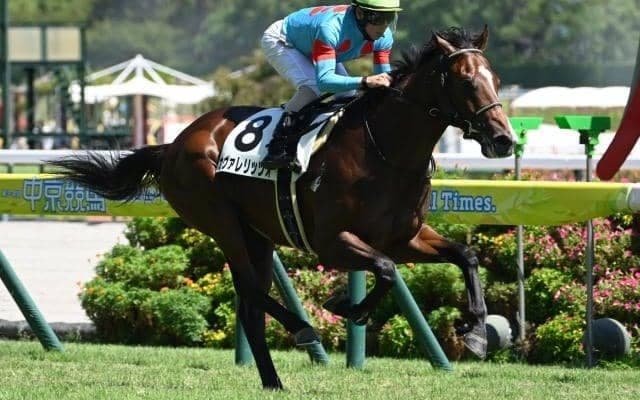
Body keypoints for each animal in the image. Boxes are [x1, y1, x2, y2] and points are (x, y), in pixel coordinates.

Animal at [50, 26, 514, 390]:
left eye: (496, 78)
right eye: (467, 82)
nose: (504, 139)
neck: (384, 152)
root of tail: (174, 144)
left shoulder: (405, 237)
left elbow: (465, 256)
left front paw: (475, 331)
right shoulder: (332, 241)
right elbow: (385, 269)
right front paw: (345, 307)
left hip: (258, 236)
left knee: (250, 308)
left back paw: (273, 380)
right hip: (223, 223)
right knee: (251, 291)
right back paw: (303, 330)